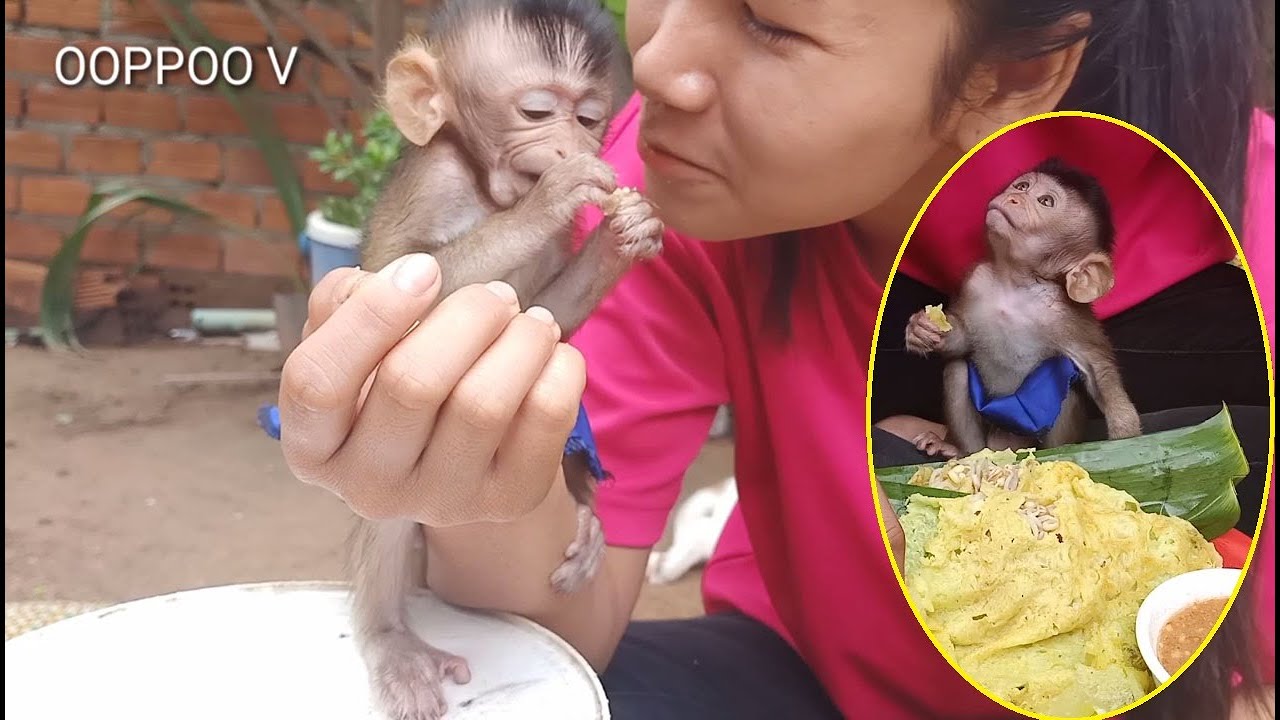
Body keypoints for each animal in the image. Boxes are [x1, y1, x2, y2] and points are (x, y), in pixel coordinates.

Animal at [345, 2, 663, 718]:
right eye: (537, 112)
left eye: (589, 118)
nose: (574, 150)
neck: (487, 191)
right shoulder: (433, 181)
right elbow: (388, 286)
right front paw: (549, 200)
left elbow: (547, 318)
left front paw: (622, 234)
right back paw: (391, 640)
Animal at [902, 157, 1141, 461]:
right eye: (1022, 186)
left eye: (1046, 201)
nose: (1014, 197)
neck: (1016, 284)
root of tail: (1000, 444)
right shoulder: (976, 281)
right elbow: (964, 340)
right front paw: (920, 329)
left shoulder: (1068, 318)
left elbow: (1099, 372)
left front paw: (1126, 434)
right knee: (957, 370)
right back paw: (958, 449)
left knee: (1068, 393)